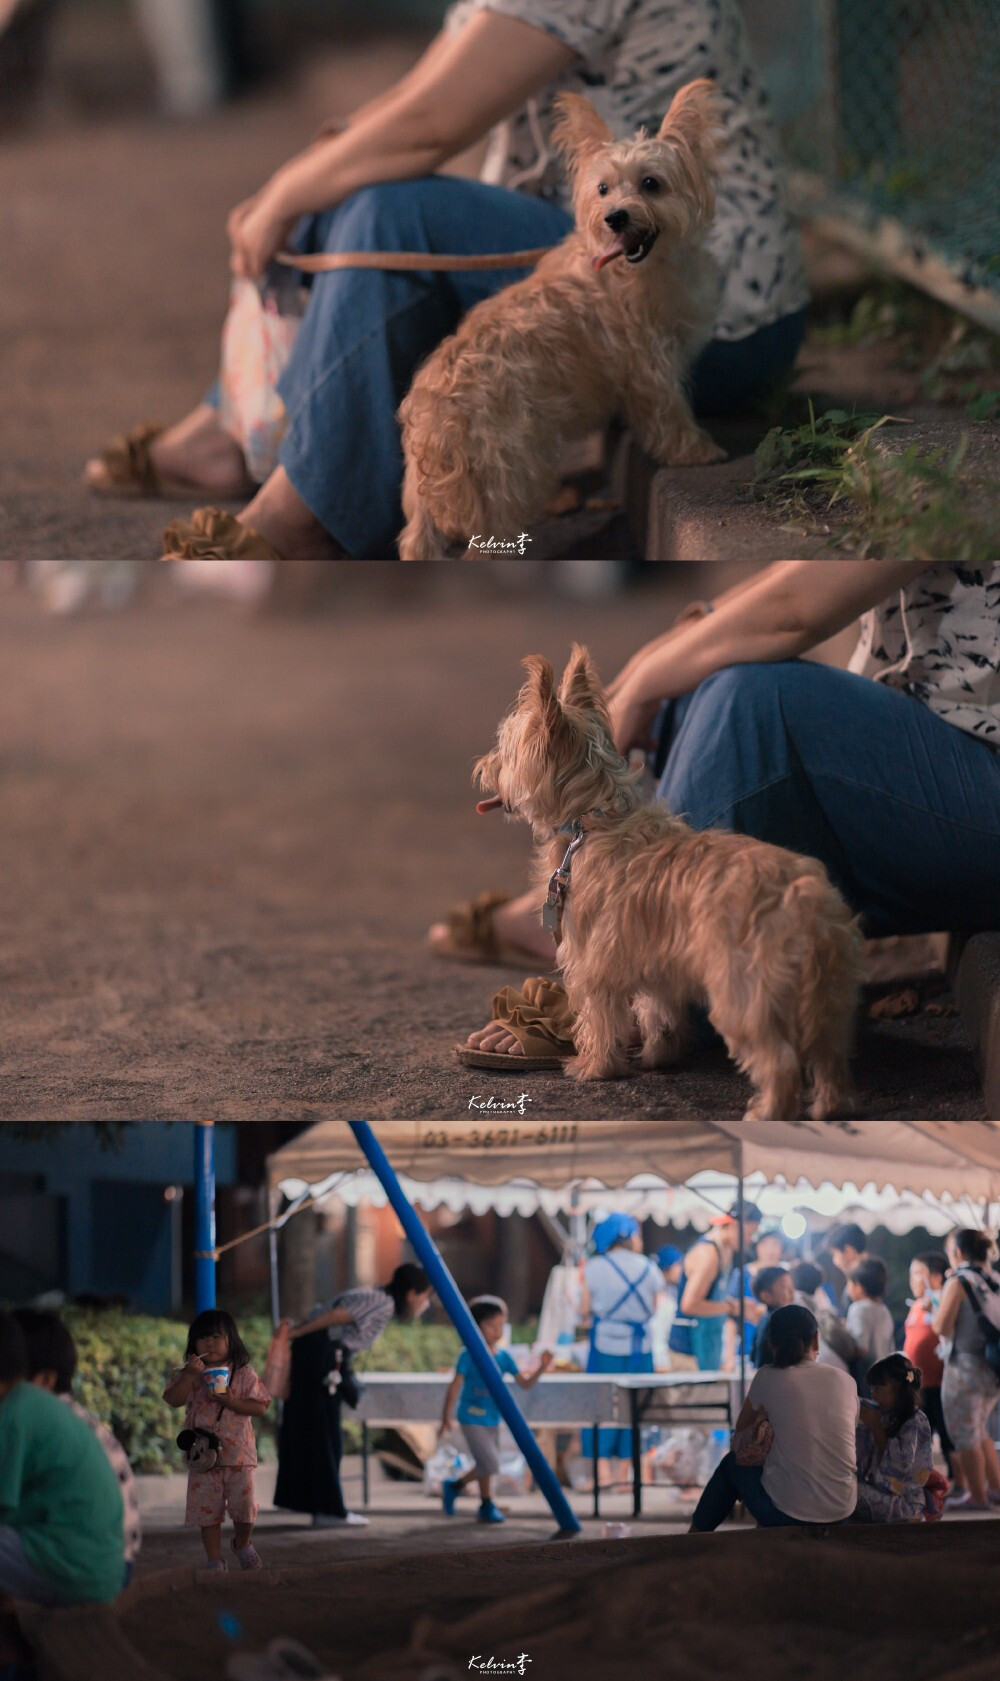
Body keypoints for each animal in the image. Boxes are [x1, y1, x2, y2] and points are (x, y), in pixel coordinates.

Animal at [398, 79, 729, 561]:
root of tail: (434, 410)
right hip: (508, 480)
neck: (638, 268)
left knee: (415, 541)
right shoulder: (649, 363)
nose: (614, 217)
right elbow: (670, 410)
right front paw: (695, 450)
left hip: (426, 498)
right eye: (603, 188)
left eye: (651, 184)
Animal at [473, 648, 860, 1122]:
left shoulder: (593, 964)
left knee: (779, 1062)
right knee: (830, 1056)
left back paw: (767, 1113)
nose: (482, 768)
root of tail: (804, 900)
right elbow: (659, 1015)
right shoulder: (657, 967)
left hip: (744, 996)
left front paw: (593, 1068)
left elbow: (600, 1020)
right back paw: (828, 1108)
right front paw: (658, 1058)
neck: (594, 822)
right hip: (830, 999)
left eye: (506, 751)